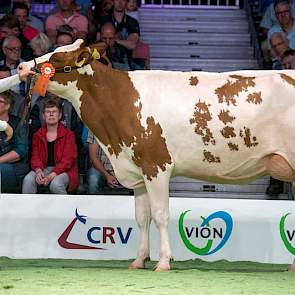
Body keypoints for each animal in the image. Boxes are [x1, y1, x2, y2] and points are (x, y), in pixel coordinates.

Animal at [23, 42, 295, 272]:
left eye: (56, 58)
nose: (23, 66)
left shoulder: (156, 165)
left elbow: (161, 215)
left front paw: (164, 261)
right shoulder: (138, 170)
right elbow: (142, 218)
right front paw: (139, 260)